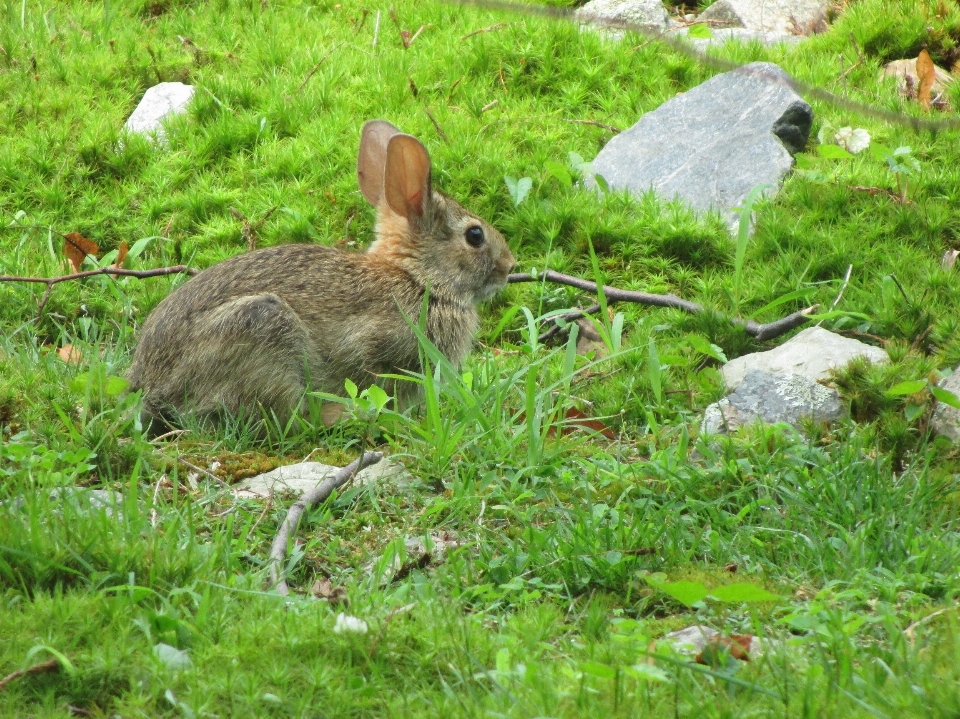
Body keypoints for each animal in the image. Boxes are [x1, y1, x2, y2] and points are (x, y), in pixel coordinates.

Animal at [129, 120, 516, 430]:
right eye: (475, 236)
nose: (510, 266)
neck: (417, 278)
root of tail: (152, 387)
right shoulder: (372, 346)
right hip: (261, 329)